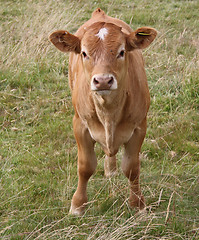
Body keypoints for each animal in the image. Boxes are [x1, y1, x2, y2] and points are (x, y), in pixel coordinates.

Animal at [49, 8, 156, 216]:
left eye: (122, 52)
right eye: (84, 53)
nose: (104, 80)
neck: (109, 113)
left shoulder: (139, 126)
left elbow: (132, 168)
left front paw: (137, 204)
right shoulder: (80, 125)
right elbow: (85, 167)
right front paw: (78, 205)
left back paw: (111, 169)